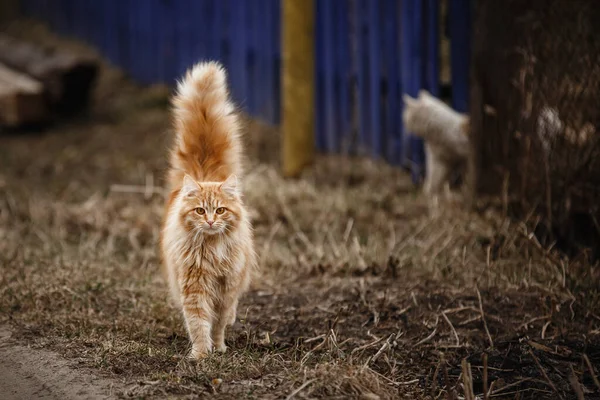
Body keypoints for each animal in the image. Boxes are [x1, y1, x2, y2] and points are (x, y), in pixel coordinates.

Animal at [159, 61, 255, 358]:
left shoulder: (226, 289)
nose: (211, 221)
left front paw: (219, 347)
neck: (212, 252)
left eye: (221, 210)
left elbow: (219, 322)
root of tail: (203, 173)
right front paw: (201, 354)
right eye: (200, 211)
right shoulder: (194, 288)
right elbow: (199, 322)